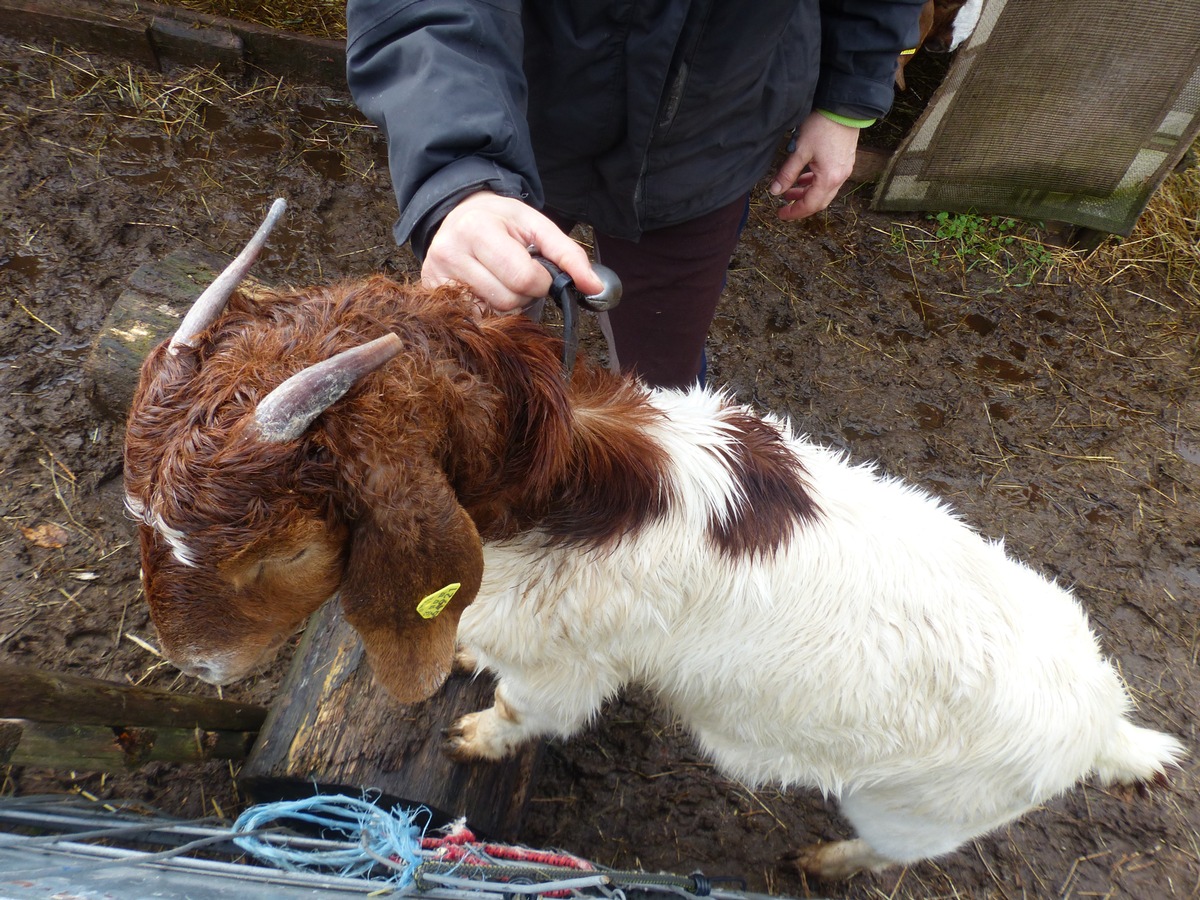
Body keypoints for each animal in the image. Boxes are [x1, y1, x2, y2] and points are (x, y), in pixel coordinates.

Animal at [124, 202, 1180, 883]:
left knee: (890, 850)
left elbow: (527, 712)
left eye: (274, 553)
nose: (196, 666)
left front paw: (473, 734)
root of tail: (1103, 720)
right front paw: (460, 652)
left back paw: (825, 860)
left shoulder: (570, 665)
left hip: (923, 812)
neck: (563, 492)